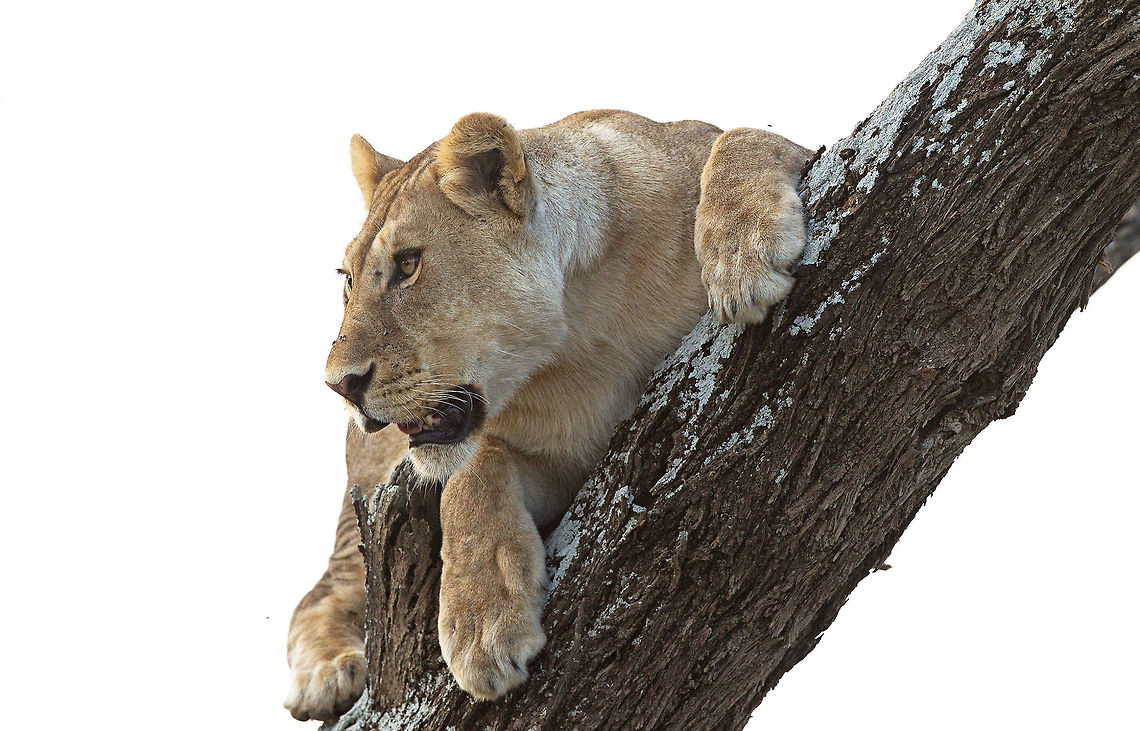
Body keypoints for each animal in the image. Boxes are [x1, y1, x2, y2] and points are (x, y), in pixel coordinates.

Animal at [284, 110, 811, 720]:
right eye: (347, 279)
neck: (578, 337)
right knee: (323, 592)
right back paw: (327, 672)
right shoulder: (548, 459)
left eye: (408, 265)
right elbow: (469, 477)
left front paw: (742, 255)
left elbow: (743, 137)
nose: (339, 385)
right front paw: (481, 628)